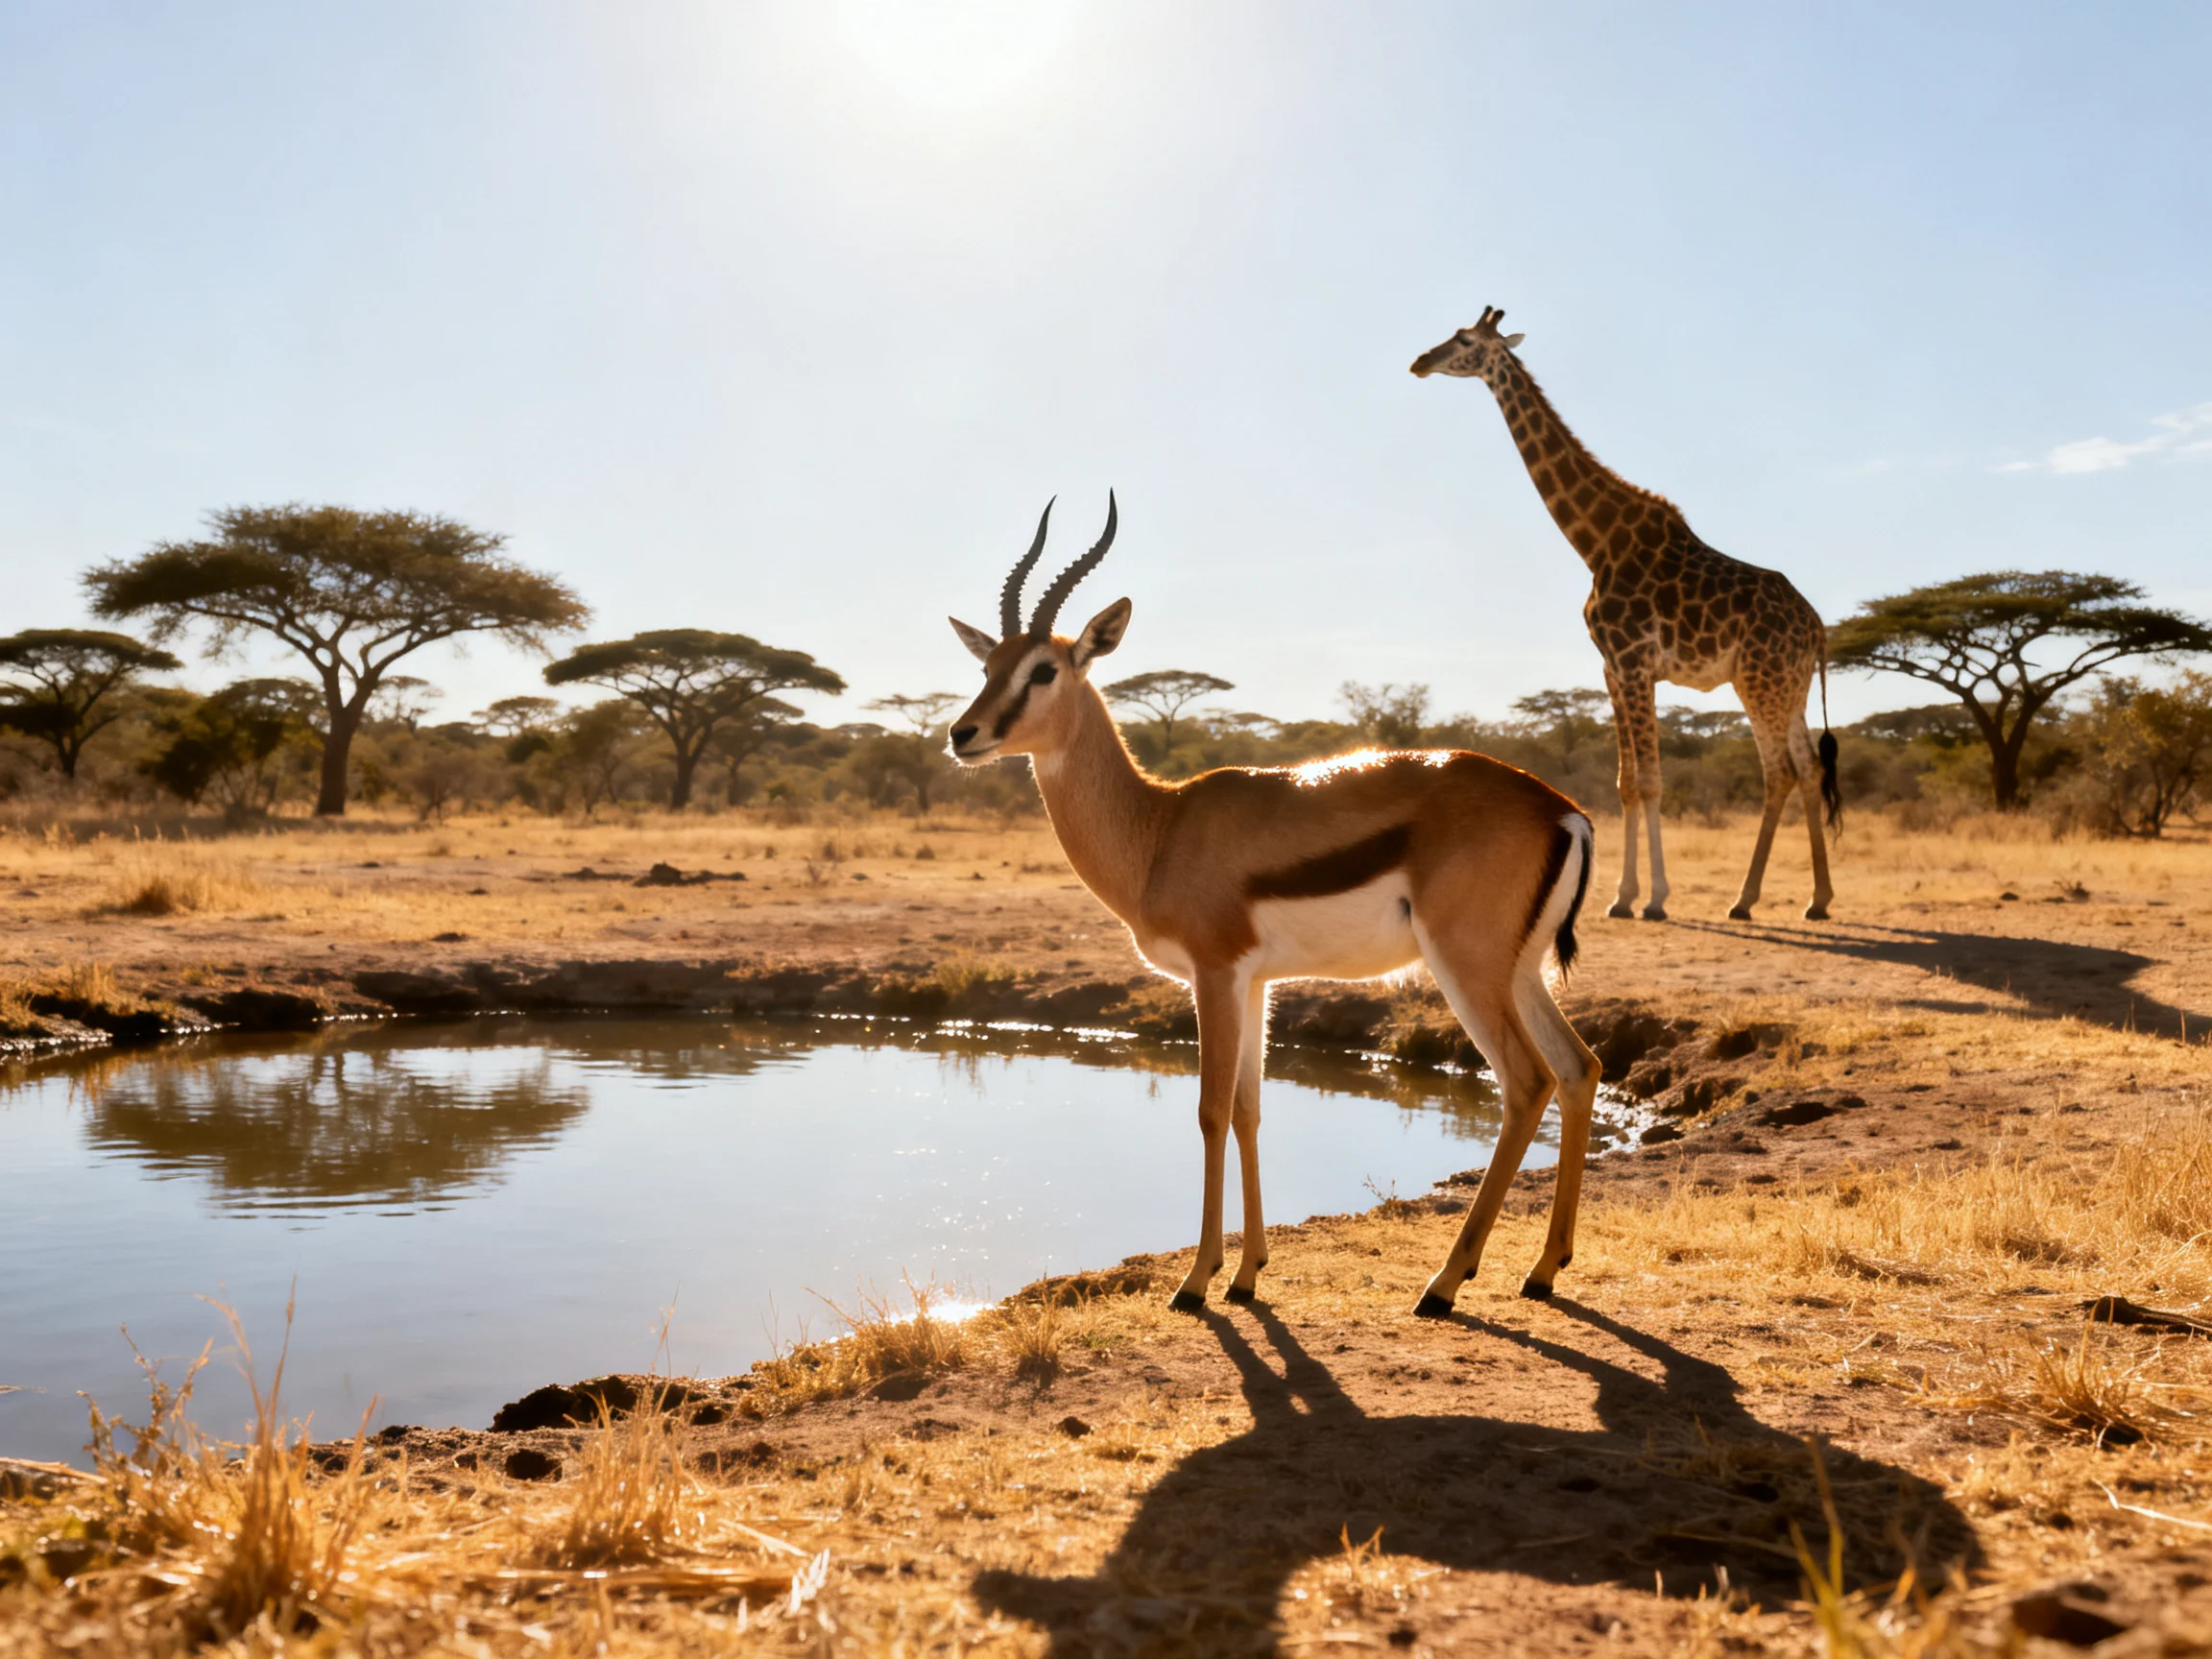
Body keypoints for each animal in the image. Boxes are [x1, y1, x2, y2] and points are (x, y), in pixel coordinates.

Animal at [946, 495, 1604, 1316]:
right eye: (987, 666)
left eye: (1043, 669)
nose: (962, 733)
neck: (1160, 828)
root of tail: (1561, 811)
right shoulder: (1256, 983)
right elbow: (1250, 1109)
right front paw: (1247, 1273)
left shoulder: (1214, 973)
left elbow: (1209, 1111)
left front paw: (1195, 1282)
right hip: (1519, 972)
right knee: (1579, 1068)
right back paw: (1543, 1269)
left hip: (1468, 968)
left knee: (1525, 1083)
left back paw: (1444, 1284)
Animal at [1412, 307, 1838, 922]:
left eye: (1464, 339)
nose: (1420, 361)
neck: (1596, 543)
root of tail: (1817, 628)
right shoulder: (1611, 668)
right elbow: (1626, 782)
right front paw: (1622, 896)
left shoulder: (1636, 661)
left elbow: (1654, 781)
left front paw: (1656, 899)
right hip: (1787, 686)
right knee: (1807, 770)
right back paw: (1816, 899)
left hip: (1760, 681)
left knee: (1778, 771)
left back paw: (1745, 899)